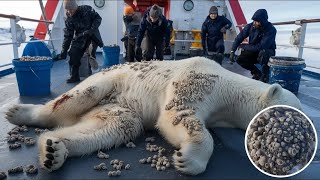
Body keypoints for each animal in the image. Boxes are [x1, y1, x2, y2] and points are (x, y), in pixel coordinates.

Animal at [5, 57, 302, 174]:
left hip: (117, 104)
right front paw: (187, 159)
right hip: (106, 82)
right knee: (73, 100)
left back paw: (54, 150)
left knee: (117, 126)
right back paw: (19, 111)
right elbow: (175, 116)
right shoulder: (194, 81)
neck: (227, 88)